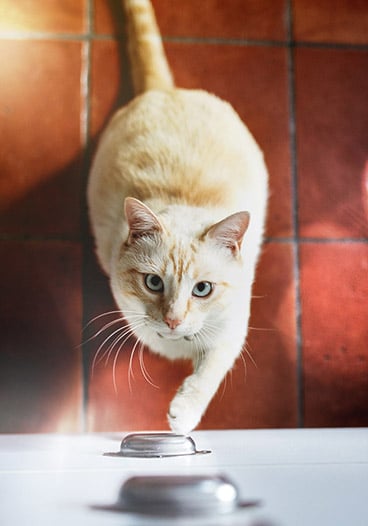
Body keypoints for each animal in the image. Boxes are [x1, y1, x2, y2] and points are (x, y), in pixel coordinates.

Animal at [87, 0, 268, 438]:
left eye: (202, 289)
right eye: (153, 283)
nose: (173, 320)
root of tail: (162, 90)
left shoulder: (232, 329)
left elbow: (210, 370)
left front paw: (182, 414)